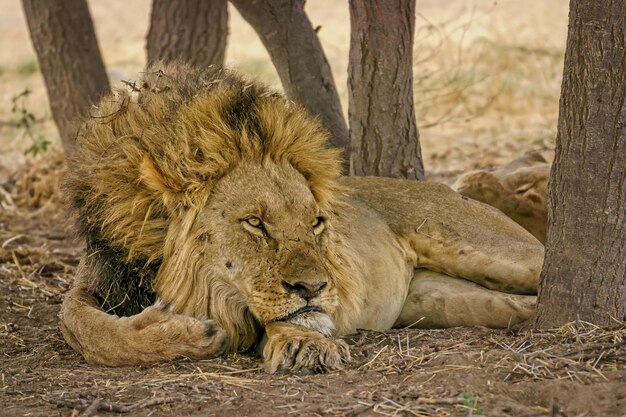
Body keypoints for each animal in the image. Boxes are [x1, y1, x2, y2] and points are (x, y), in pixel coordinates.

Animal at [61, 63, 544, 372]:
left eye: (316, 222)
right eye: (255, 223)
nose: (314, 287)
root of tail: (444, 186)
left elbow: (292, 317)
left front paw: (302, 344)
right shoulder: (97, 274)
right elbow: (80, 327)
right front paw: (185, 333)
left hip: (494, 252)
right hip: (439, 301)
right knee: (518, 308)